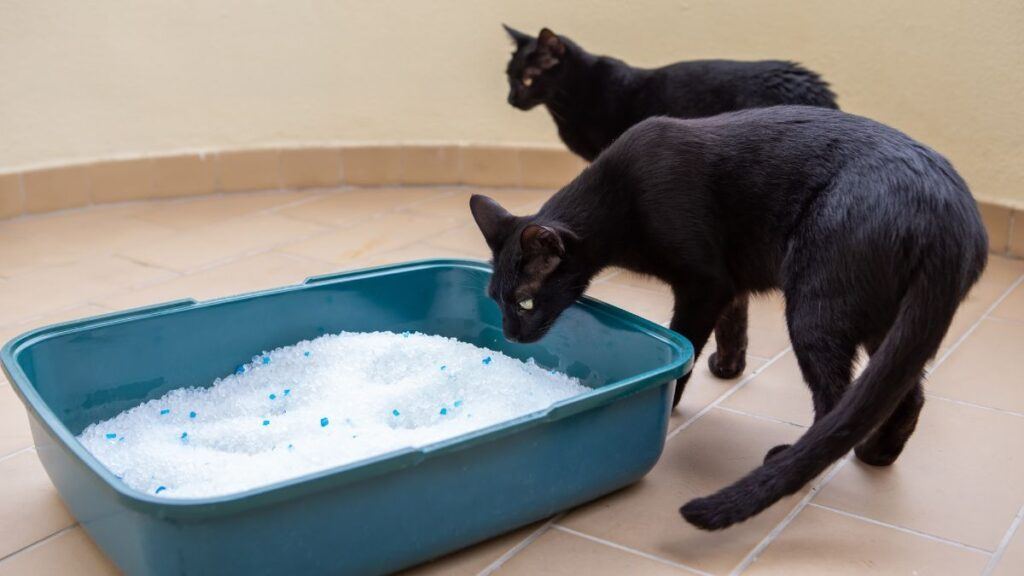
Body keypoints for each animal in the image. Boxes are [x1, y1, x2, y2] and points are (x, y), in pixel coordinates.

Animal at [468, 105, 987, 528]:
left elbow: (684, 350)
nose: (511, 335)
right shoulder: (729, 284)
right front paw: (729, 367)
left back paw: (794, 460)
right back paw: (877, 452)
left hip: (815, 308)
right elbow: (733, 324)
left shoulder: (704, 283)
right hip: (889, 322)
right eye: (495, 299)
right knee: (903, 392)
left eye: (525, 302)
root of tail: (951, 215)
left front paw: (668, 406)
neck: (620, 197)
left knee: (837, 398)